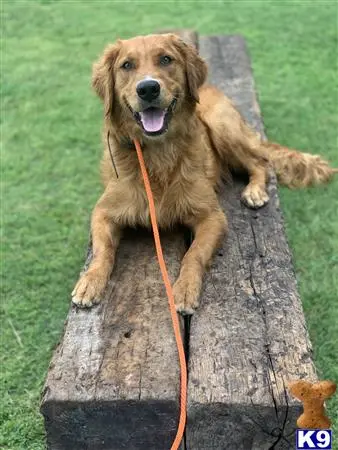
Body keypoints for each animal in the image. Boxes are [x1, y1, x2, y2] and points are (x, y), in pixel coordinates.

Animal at [71, 33, 336, 314]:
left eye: (166, 59)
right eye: (127, 65)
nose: (148, 88)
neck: (158, 154)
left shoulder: (212, 217)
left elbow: (193, 254)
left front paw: (185, 288)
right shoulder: (103, 212)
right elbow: (103, 250)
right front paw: (90, 281)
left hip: (221, 125)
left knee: (260, 162)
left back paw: (254, 191)